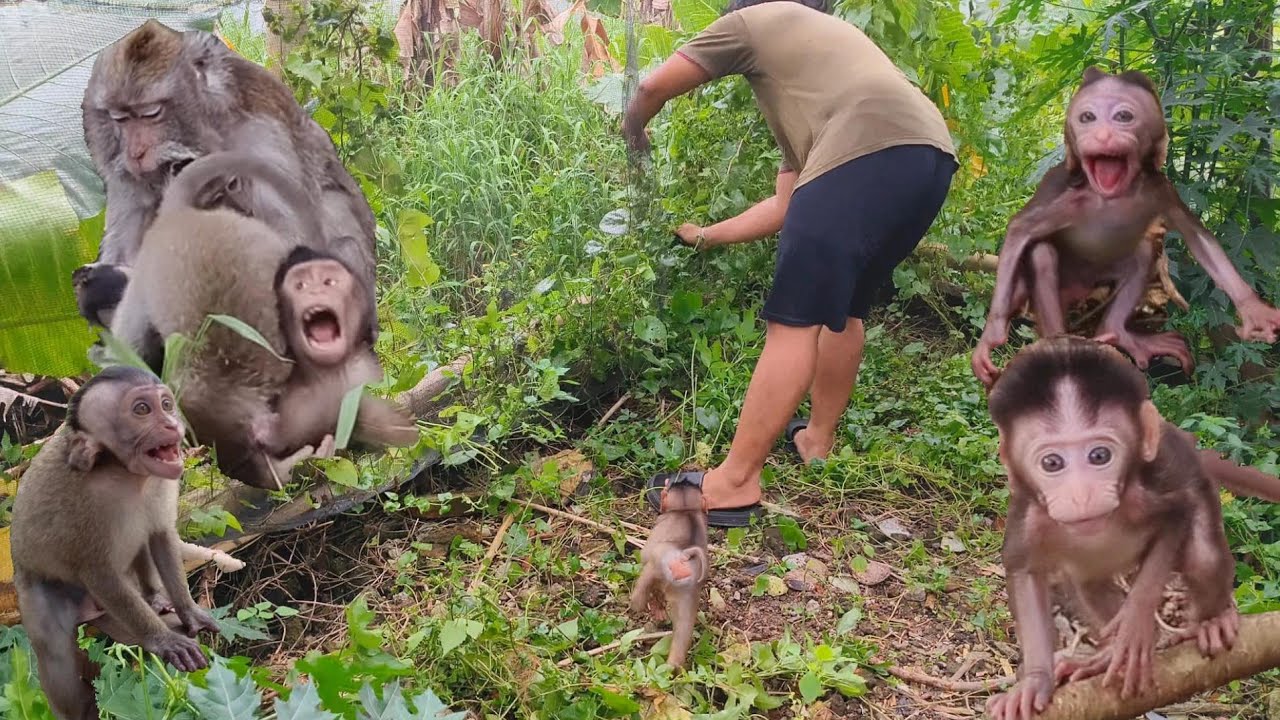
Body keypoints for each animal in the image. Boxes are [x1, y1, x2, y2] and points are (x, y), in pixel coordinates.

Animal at [10, 366, 218, 720]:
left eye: (166, 404)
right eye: (142, 410)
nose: (172, 423)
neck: (124, 472)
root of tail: (91, 610)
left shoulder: (162, 482)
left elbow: (161, 536)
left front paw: (189, 611)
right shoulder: (85, 506)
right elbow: (97, 572)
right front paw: (162, 640)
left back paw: (154, 597)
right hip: (39, 590)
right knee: (55, 656)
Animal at [629, 479, 709, 668]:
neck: (685, 510)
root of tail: (684, 555)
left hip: (658, 563)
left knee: (644, 587)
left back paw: (638, 605)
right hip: (688, 591)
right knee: (683, 629)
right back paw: (673, 665)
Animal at [970, 67, 1280, 388]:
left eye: (1123, 116)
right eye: (1087, 117)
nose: (1102, 135)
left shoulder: (1160, 189)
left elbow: (1198, 237)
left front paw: (1253, 308)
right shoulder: (1071, 198)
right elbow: (1020, 228)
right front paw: (991, 336)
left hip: (1099, 282)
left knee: (1142, 252)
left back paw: (1115, 331)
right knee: (1042, 254)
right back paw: (1060, 345)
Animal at [984, 336, 1247, 720]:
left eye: (1099, 456)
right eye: (1052, 463)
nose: (1081, 495)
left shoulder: (1149, 493)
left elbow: (1177, 516)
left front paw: (1135, 624)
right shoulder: (1029, 517)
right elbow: (1024, 574)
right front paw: (1034, 681)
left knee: (1203, 556)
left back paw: (1211, 621)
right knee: (1087, 579)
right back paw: (1104, 655)